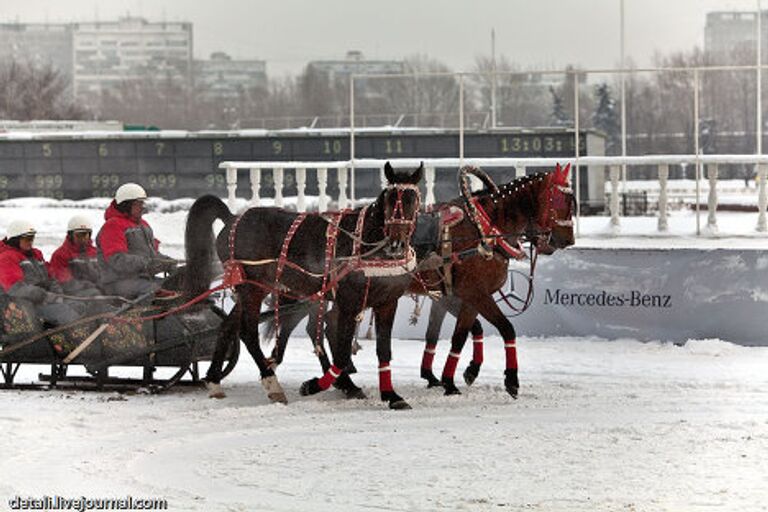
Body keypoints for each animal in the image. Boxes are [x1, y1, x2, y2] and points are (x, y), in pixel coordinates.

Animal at [185, 162, 424, 410]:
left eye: (412, 200)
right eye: (389, 199)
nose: (397, 243)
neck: (367, 243)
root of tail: (233, 218)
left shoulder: (387, 303)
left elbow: (384, 351)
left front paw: (392, 395)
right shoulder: (348, 303)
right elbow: (341, 353)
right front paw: (316, 384)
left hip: (249, 288)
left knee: (227, 326)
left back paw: (214, 380)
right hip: (253, 289)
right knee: (248, 332)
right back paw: (272, 382)